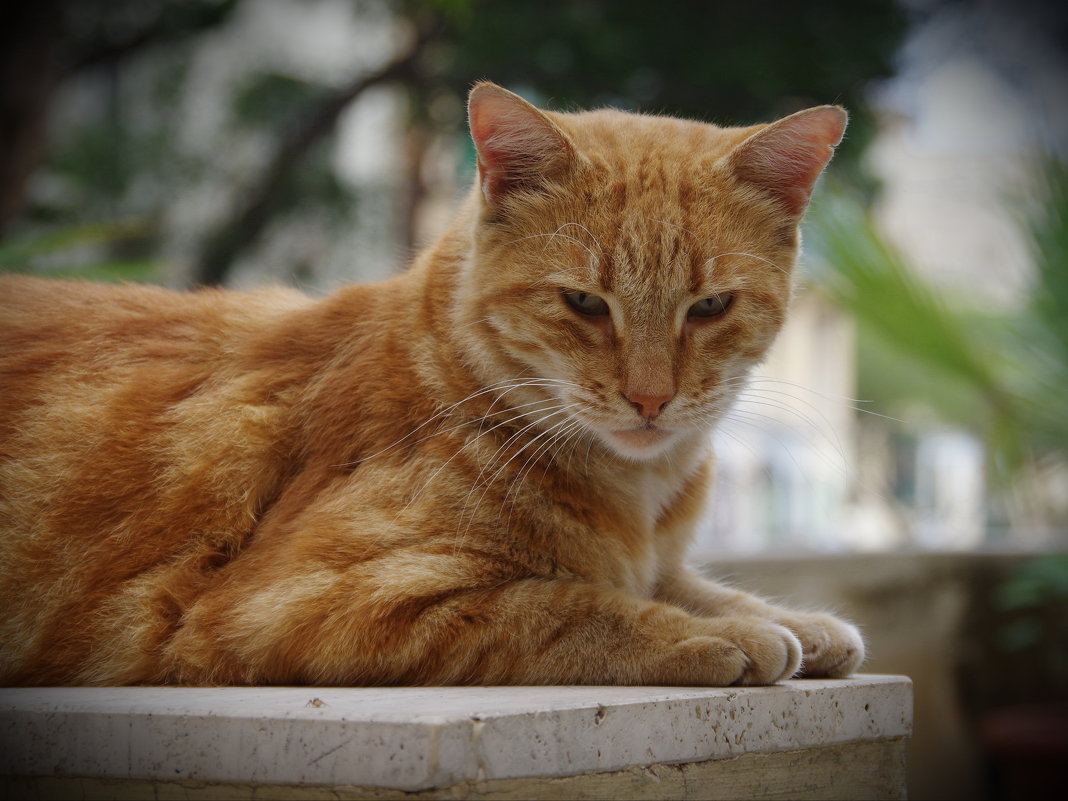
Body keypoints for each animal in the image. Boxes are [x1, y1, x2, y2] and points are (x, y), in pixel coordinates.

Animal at [0, 86, 862, 692]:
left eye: (710, 306)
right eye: (584, 303)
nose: (650, 400)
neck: (637, 495)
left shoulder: (658, 562)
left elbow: (702, 586)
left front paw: (797, 622)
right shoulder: (287, 606)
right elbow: (562, 603)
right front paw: (722, 637)